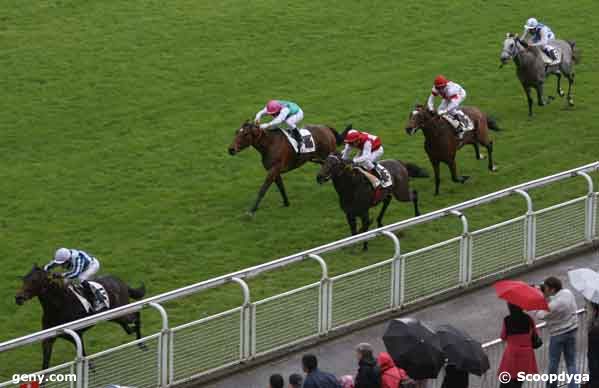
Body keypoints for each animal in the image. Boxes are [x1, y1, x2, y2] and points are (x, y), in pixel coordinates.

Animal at [15, 264, 146, 370]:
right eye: (24, 279)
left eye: (34, 280)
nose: (18, 298)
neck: (59, 306)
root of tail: (120, 281)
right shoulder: (48, 339)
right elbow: (45, 367)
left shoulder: (77, 334)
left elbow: (83, 356)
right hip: (114, 316)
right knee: (128, 326)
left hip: (121, 310)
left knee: (136, 315)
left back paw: (141, 343)